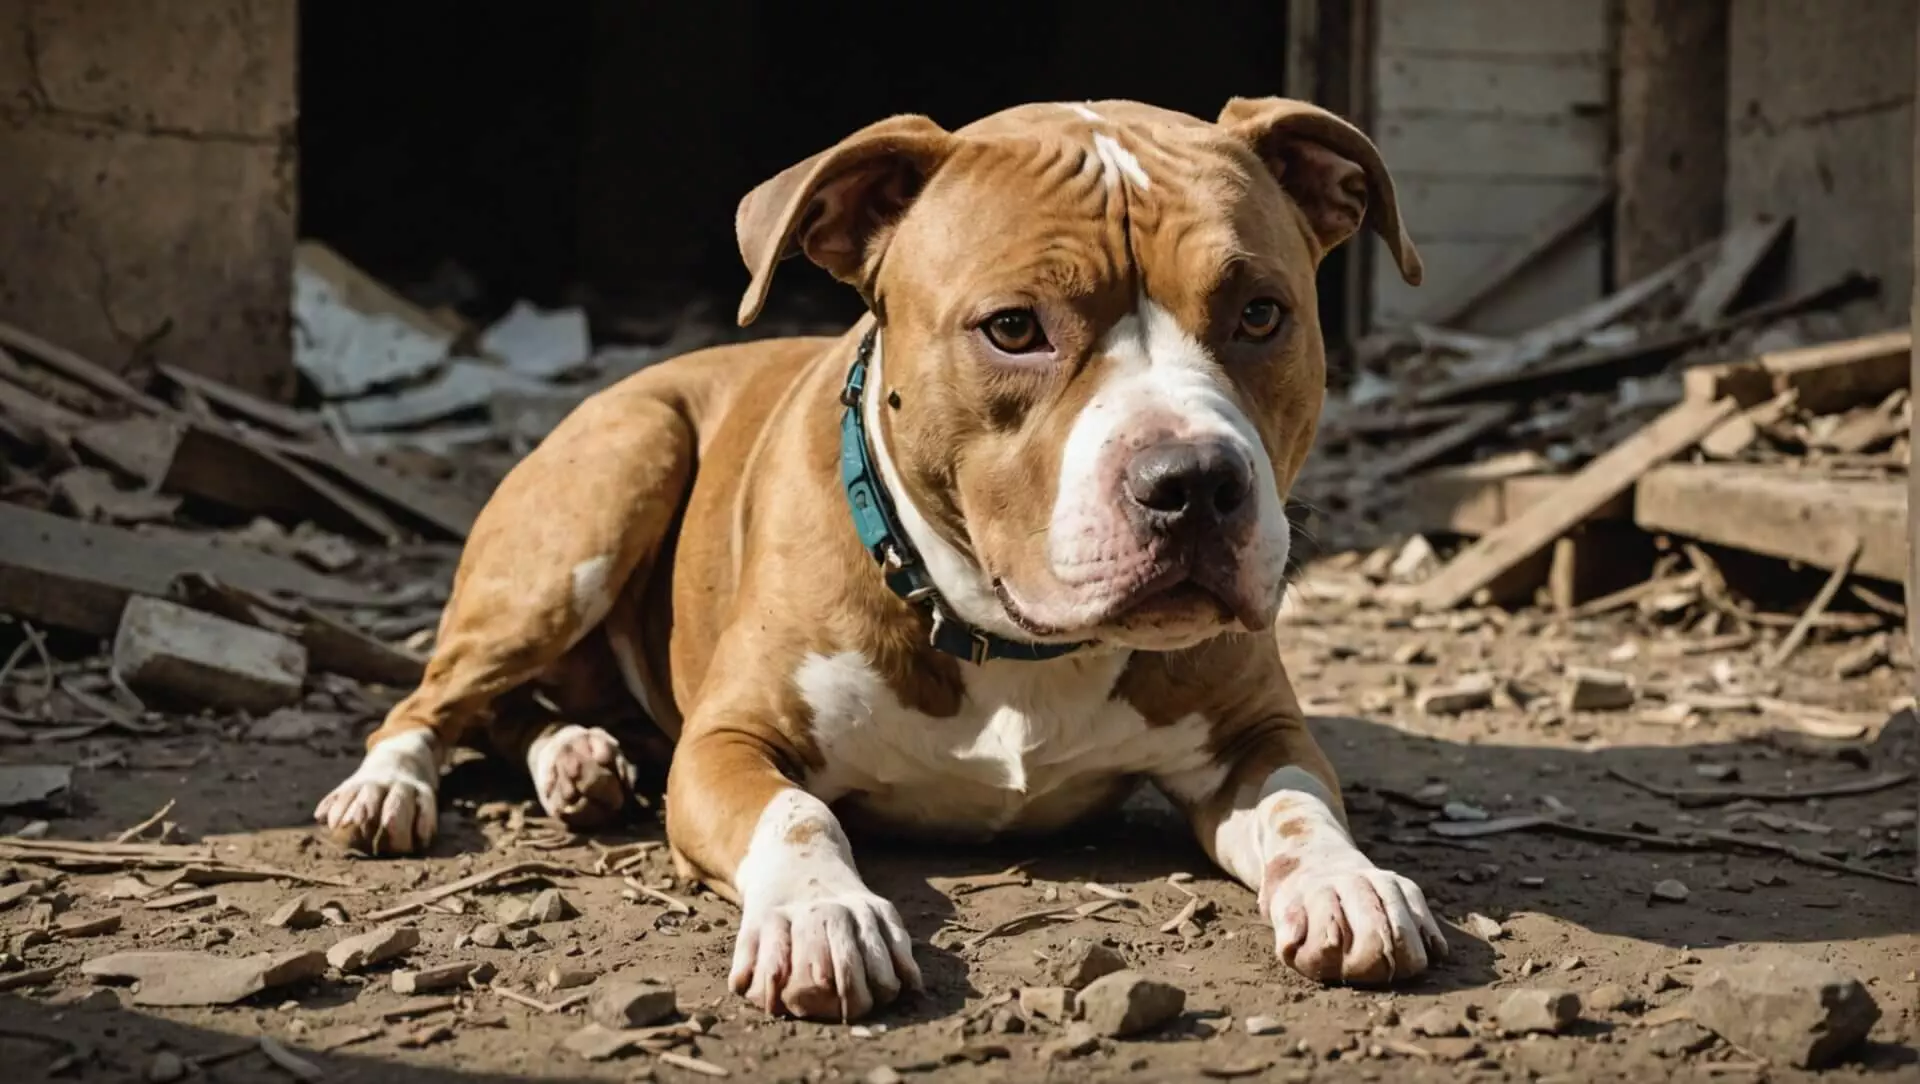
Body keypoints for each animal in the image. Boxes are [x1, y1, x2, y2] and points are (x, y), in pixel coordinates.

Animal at [311, 97, 1443, 1020]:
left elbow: (1298, 803)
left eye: (1261, 313)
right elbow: (798, 814)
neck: (1004, 638)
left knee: (516, 711)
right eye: (1013, 328)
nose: (1195, 481)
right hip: (599, 501)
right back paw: (390, 790)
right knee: (433, 697)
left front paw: (1347, 882)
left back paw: (576, 757)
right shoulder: (728, 741)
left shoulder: (1256, 730)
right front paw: (823, 916)